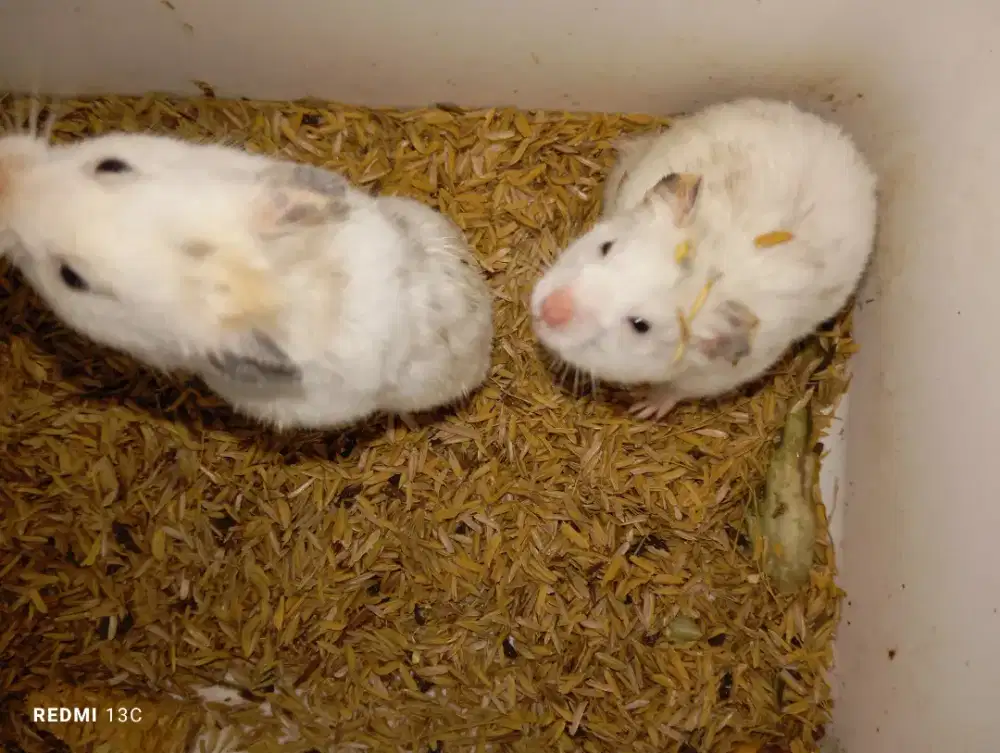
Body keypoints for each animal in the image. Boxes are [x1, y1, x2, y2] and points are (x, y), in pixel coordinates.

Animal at [530, 98, 877, 419]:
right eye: (606, 247)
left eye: (640, 325)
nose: (550, 310)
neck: (712, 253)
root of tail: (843, 137)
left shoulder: (716, 376)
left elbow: (675, 390)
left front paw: (645, 407)